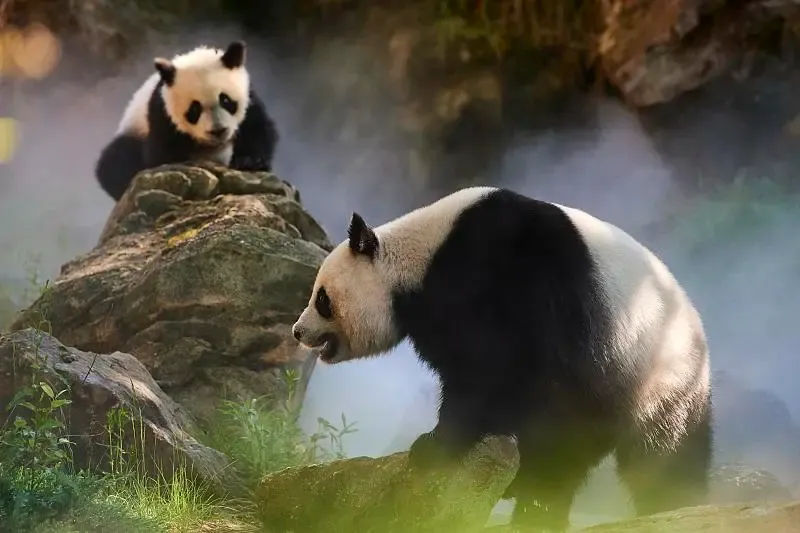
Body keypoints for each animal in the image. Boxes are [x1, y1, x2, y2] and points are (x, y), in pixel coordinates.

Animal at [94, 40, 278, 201]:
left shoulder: (249, 98)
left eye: (225, 100)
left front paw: (249, 161)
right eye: (194, 110)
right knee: (114, 160)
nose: (218, 131)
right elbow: (159, 154)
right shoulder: (162, 112)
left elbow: (257, 128)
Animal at [291, 186, 713, 532]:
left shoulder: (502, 277)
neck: (420, 257)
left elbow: (495, 370)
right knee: (574, 449)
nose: (297, 331)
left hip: (659, 382)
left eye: (322, 298)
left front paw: (435, 445)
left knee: (659, 458)